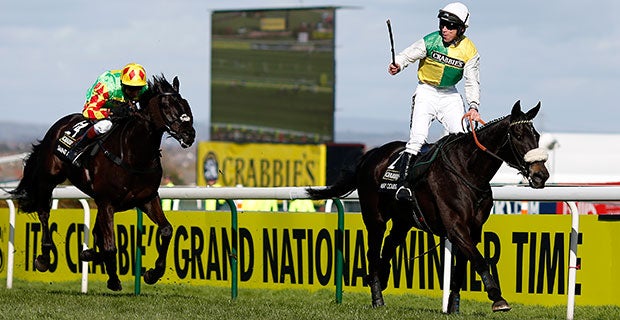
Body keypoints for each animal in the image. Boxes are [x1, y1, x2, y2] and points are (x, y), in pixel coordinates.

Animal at [8, 75, 195, 292]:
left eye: (185, 103)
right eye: (166, 105)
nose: (190, 134)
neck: (134, 154)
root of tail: (60, 125)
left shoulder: (146, 198)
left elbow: (166, 230)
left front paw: (152, 273)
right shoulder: (107, 201)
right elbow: (110, 246)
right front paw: (113, 278)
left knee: (97, 231)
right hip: (48, 178)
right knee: (44, 212)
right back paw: (44, 258)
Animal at [306, 101, 548, 314]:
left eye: (536, 136)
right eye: (518, 136)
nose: (541, 175)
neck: (468, 170)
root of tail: (371, 155)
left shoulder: (474, 229)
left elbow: (463, 267)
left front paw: (453, 306)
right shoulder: (455, 227)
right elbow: (479, 260)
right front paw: (497, 298)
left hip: (402, 221)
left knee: (389, 246)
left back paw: (382, 280)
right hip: (375, 218)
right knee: (373, 254)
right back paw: (377, 297)